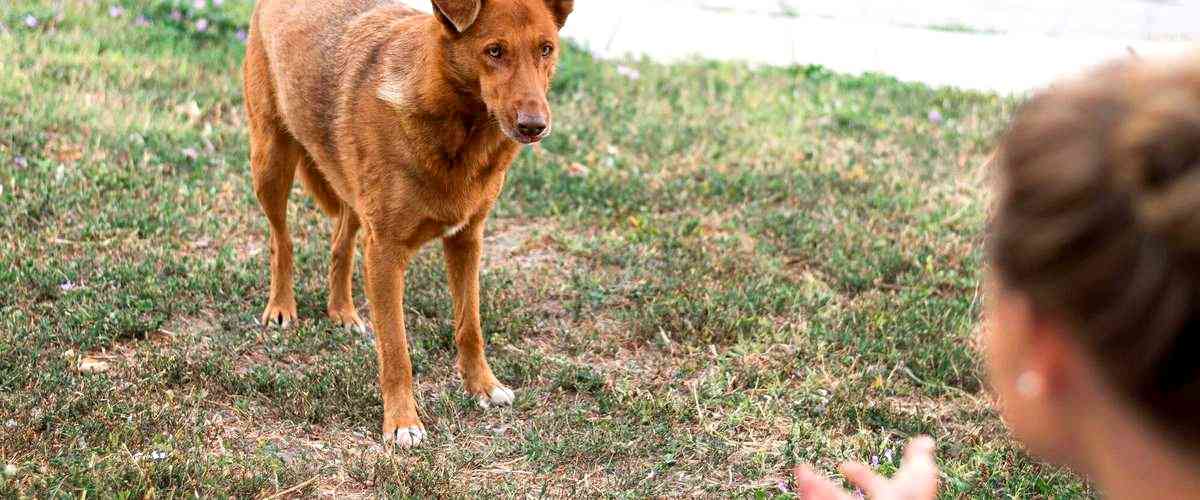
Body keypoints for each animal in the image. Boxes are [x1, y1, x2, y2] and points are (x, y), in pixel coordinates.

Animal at [243, 0, 571, 443]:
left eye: (546, 49)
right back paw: (281, 306)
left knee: (341, 240)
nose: (534, 127)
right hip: (271, 162)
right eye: (495, 51)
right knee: (282, 239)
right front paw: (402, 422)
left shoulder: (467, 240)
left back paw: (342, 310)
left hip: (350, 191)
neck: (459, 127)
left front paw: (482, 387)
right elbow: (397, 350)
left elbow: (470, 326)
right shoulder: (385, 253)